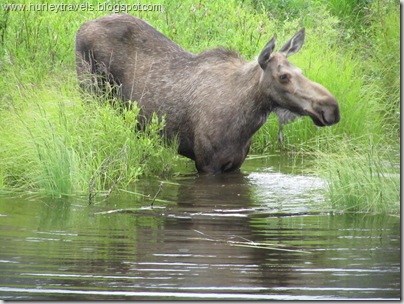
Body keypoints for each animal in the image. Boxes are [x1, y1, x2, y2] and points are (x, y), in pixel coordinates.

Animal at [76, 14, 340, 175]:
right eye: (283, 76)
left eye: (301, 71)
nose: (332, 108)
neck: (246, 122)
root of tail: (80, 27)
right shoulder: (206, 164)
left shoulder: (236, 164)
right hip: (89, 90)